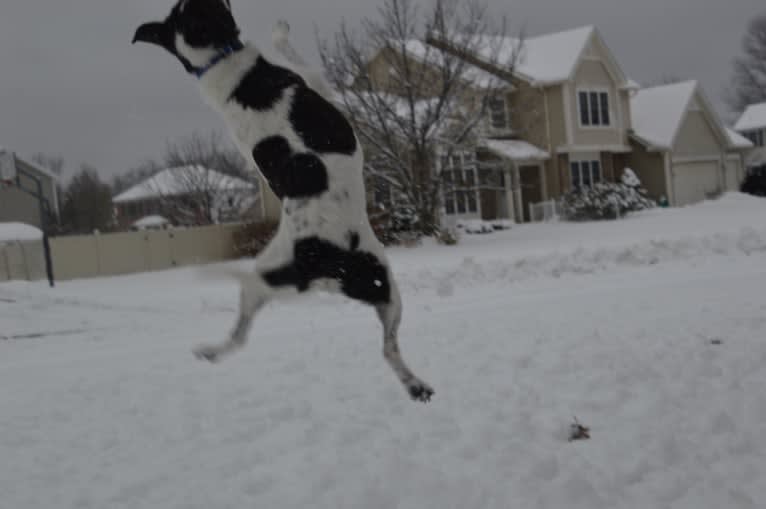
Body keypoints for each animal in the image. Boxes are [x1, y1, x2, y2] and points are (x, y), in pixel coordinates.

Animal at [134, 0, 436, 400]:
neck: (216, 60)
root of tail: (322, 262)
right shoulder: (316, 81)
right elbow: (290, 50)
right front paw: (279, 31)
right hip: (329, 284)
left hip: (376, 289)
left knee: (385, 348)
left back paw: (415, 385)